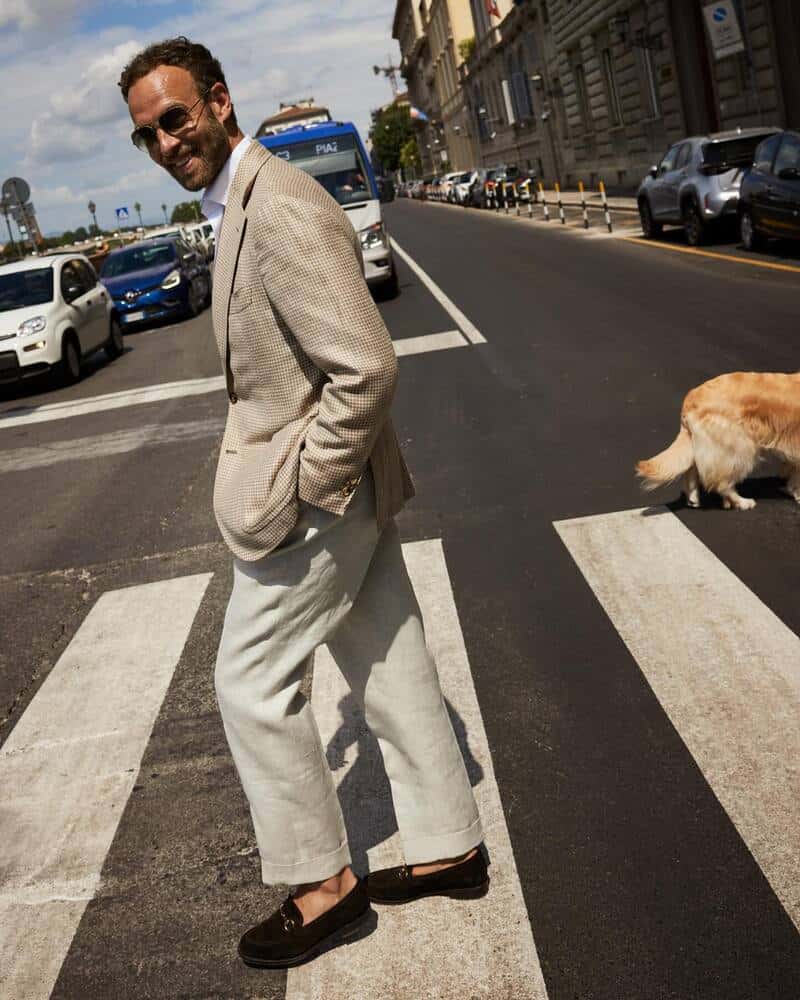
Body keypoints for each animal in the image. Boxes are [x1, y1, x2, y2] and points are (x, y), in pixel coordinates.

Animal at [636, 376, 800, 516]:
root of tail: (691, 397)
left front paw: (793, 490)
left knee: (692, 468)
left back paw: (693, 497)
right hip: (738, 447)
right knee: (721, 482)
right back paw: (742, 502)